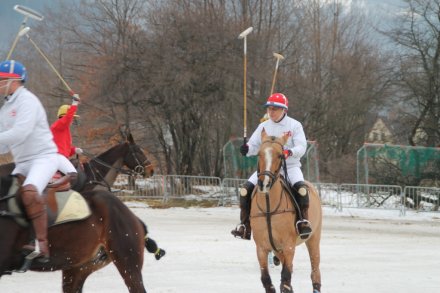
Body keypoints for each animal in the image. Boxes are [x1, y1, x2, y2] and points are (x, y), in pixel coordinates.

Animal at [251, 129, 324, 292]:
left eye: (280, 155)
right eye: (259, 153)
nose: (264, 183)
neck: (269, 208)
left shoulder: (288, 246)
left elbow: (285, 280)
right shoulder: (262, 248)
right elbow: (267, 281)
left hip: (314, 238)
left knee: (315, 270)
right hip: (277, 249)